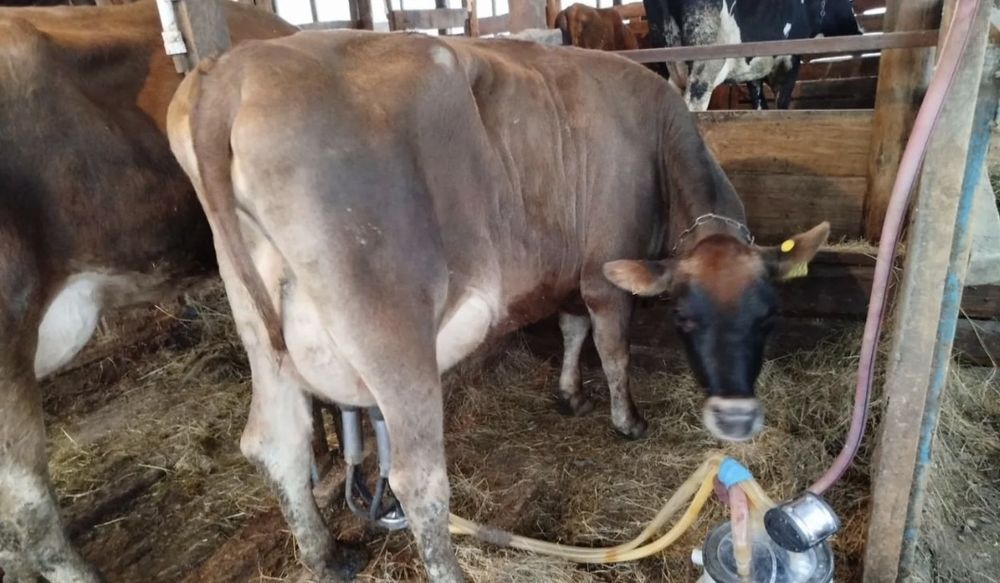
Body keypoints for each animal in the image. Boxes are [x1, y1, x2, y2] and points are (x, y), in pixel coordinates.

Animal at [168, 30, 829, 582]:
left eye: (768, 316)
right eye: (684, 317)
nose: (735, 422)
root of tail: (232, 70)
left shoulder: (568, 271)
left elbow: (571, 330)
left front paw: (568, 394)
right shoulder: (604, 274)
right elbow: (612, 348)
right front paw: (627, 420)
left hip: (261, 328)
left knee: (274, 442)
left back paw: (328, 557)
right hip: (389, 329)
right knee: (416, 477)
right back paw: (447, 570)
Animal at [642, 0, 863, 110]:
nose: (860, 30)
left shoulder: (753, 72)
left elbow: (759, 104)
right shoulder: (790, 60)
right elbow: (781, 104)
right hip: (704, 67)